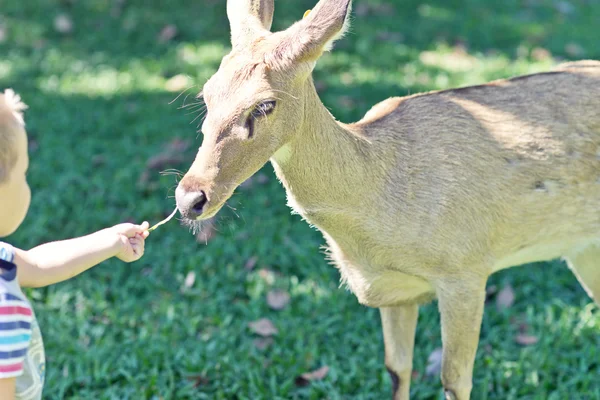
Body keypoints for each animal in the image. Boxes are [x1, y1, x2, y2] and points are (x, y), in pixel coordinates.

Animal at [171, 1, 596, 398]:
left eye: (264, 104)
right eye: (206, 94)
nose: (191, 197)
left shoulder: (467, 268)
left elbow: (455, 381)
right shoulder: (396, 293)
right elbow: (396, 369)